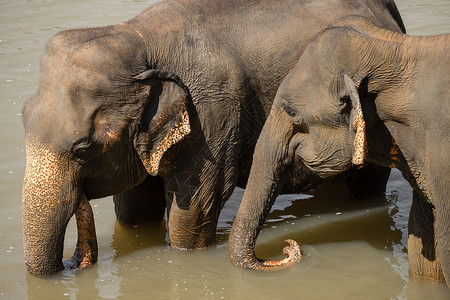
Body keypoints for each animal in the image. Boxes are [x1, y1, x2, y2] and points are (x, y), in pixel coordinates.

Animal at [22, 0, 408, 276]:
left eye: (83, 148)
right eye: (22, 120)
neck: (136, 37)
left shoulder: (213, 115)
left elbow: (193, 212)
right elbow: (135, 209)